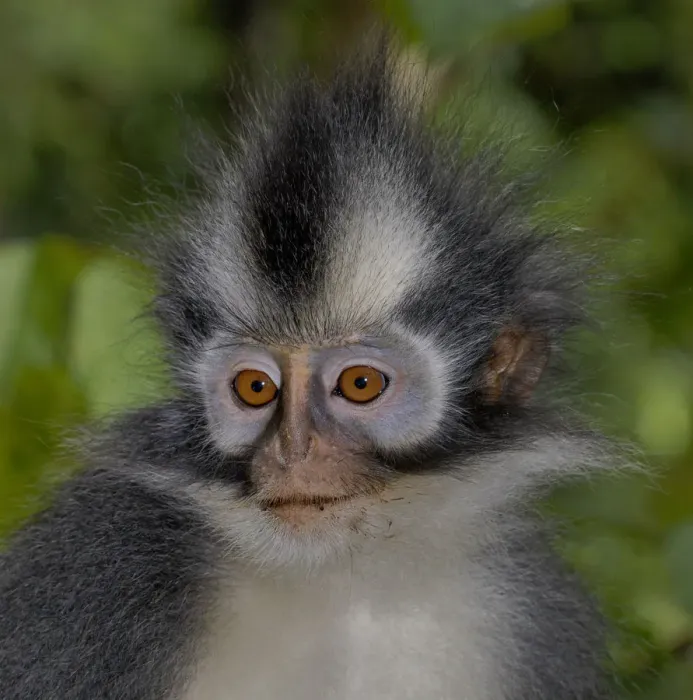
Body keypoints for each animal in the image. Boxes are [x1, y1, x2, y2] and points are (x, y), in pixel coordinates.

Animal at [0, 43, 622, 700]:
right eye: (255, 388)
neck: (340, 574)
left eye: (360, 384)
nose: (293, 451)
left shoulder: (526, 610)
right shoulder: (103, 564)